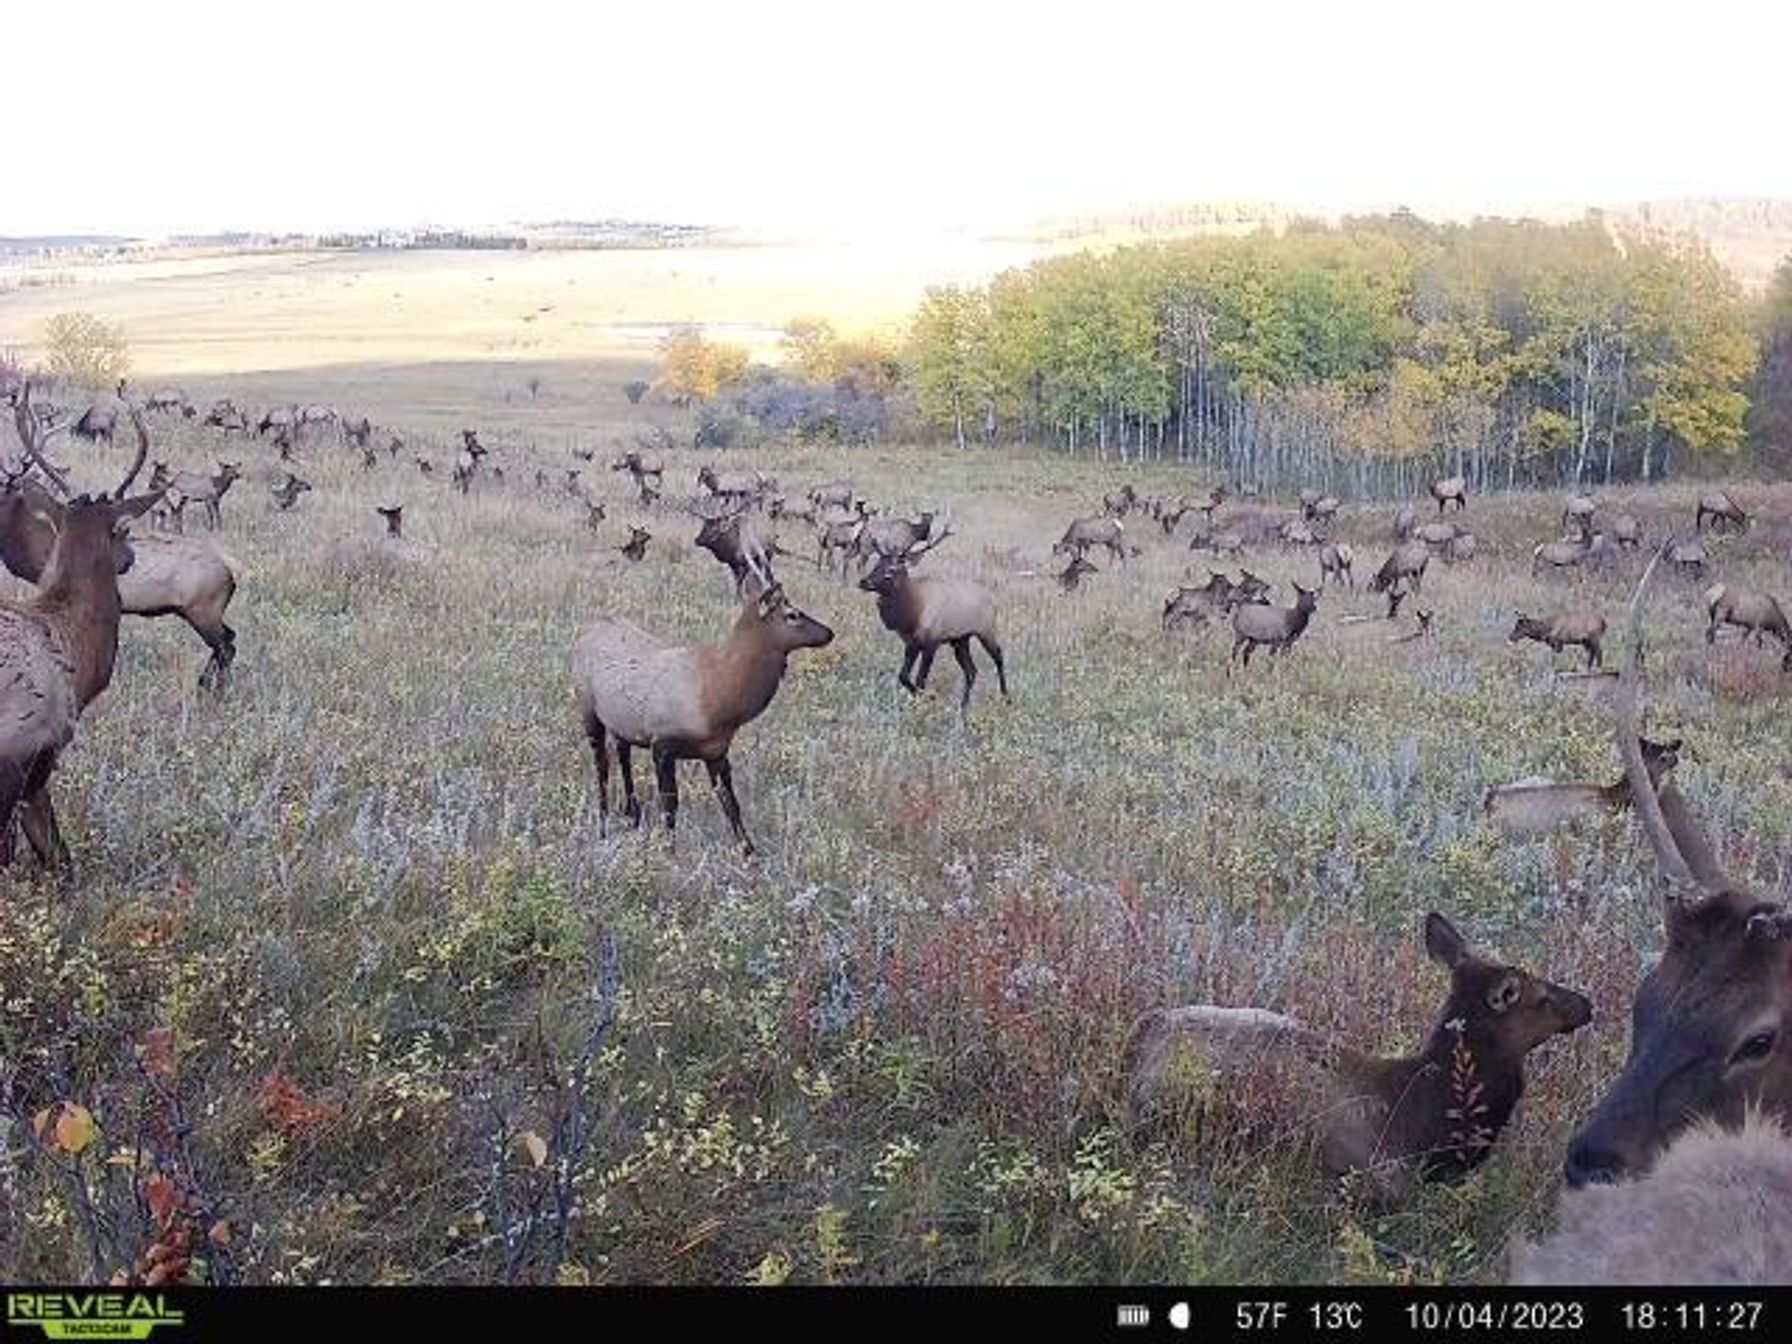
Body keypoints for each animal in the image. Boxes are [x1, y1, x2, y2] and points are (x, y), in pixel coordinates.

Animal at [571, 575, 833, 855]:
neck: (716, 691)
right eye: (791, 614)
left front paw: (749, 851)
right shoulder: (661, 745)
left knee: (622, 754)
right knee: (602, 765)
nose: (829, 633)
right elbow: (671, 805)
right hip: (589, 713)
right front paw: (669, 850)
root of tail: (586, 633)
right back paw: (603, 824)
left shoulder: (716, 752)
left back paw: (632, 814)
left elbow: (731, 803)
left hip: (622, 726)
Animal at [859, 545, 1006, 713]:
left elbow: (920, 680)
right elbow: (903, 676)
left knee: (998, 656)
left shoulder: (931, 643)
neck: (912, 614)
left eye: (891, 569)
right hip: (960, 640)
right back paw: (963, 707)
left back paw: (1005, 697)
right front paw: (921, 700)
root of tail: (994, 599)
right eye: (876, 564)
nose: (863, 581)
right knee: (971, 671)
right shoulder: (911, 643)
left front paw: (925, 701)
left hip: (986, 631)